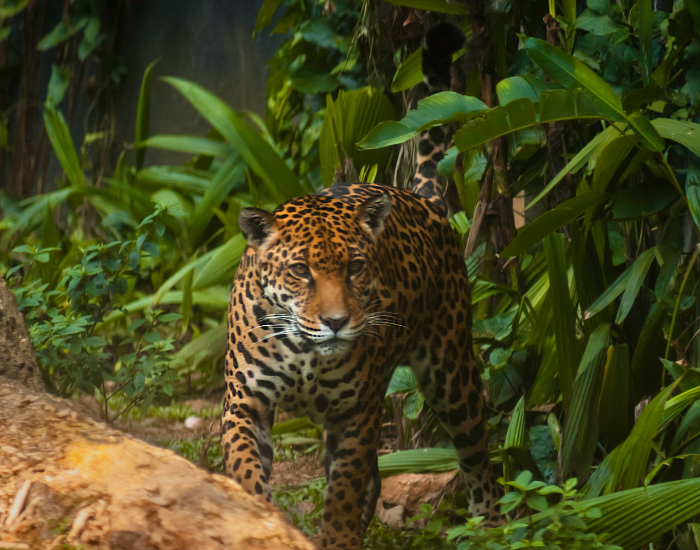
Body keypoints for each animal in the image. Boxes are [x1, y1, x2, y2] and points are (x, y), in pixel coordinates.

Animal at [221, 22, 502, 549]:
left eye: (354, 268)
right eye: (300, 271)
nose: (336, 323)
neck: (304, 350)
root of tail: (423, 200)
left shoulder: (355, 415)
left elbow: (344, 496)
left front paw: (336, 538)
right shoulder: (245, 403)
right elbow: (246, 470)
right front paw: (258, 516)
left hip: (451, 372)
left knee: (478, 456)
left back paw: (493, 527)